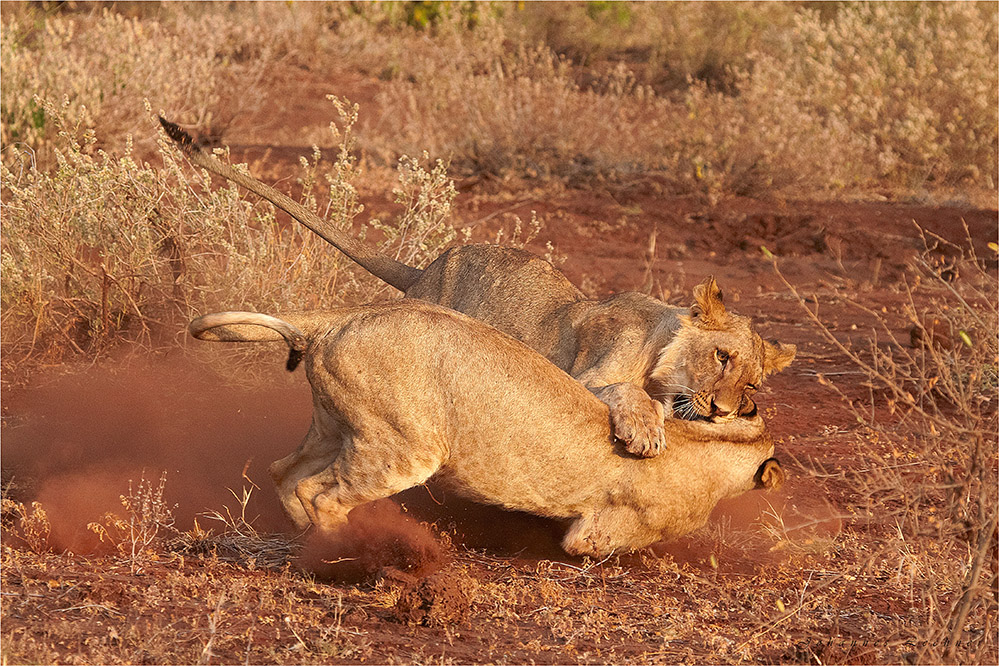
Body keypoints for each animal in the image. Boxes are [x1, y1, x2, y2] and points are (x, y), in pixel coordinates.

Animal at [158, 116, 796, 454]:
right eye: (721, 356)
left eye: (753, 382)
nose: (723, 410)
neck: (661, 346)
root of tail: (429, 268)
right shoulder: (586, 374)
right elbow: (624, 391)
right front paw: (643, 429)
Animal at [188, 300, 784, 556]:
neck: (709, 441)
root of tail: (340, 318)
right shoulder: (601, 534)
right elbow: (590, 547)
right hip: (404, 448)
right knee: (321, 493)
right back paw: (346, 555)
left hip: (336, 428)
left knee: (285, 472)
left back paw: (304, 540)